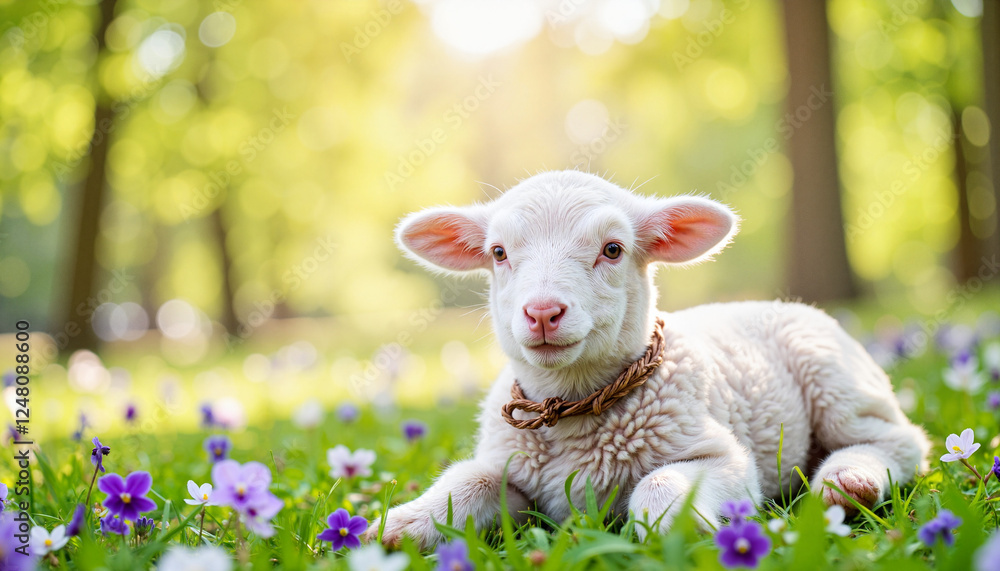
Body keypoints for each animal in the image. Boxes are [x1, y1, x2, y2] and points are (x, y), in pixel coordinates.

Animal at [364, 170, 930, 548]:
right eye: (499, 253)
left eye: (613, 249)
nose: (543, 312)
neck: (574, 409)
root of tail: (780, 303)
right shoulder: (511, 468)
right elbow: (470, 480)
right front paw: (401, 526)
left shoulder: (725, 459)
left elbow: (660, 482)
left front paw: (676, 527)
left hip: (836, 377)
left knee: (899, 441)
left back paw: (848, 481)